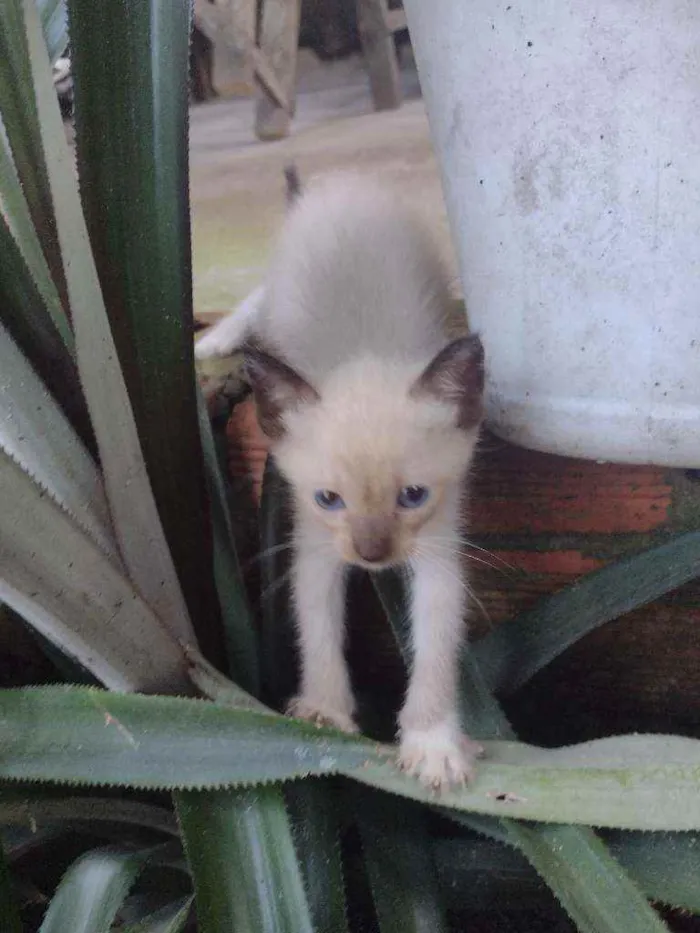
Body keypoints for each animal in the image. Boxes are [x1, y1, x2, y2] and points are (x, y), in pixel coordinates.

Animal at [194, 169, 484, 788]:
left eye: (412, 496)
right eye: (329, 499)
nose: (372, 556)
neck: (364, 353)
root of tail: (340, 183)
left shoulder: (439, 546)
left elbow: (437, 643)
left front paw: (433, 742)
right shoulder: (313, 543)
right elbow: (317, 626)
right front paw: (326, 715)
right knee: (259, 294)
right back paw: (217, 339)